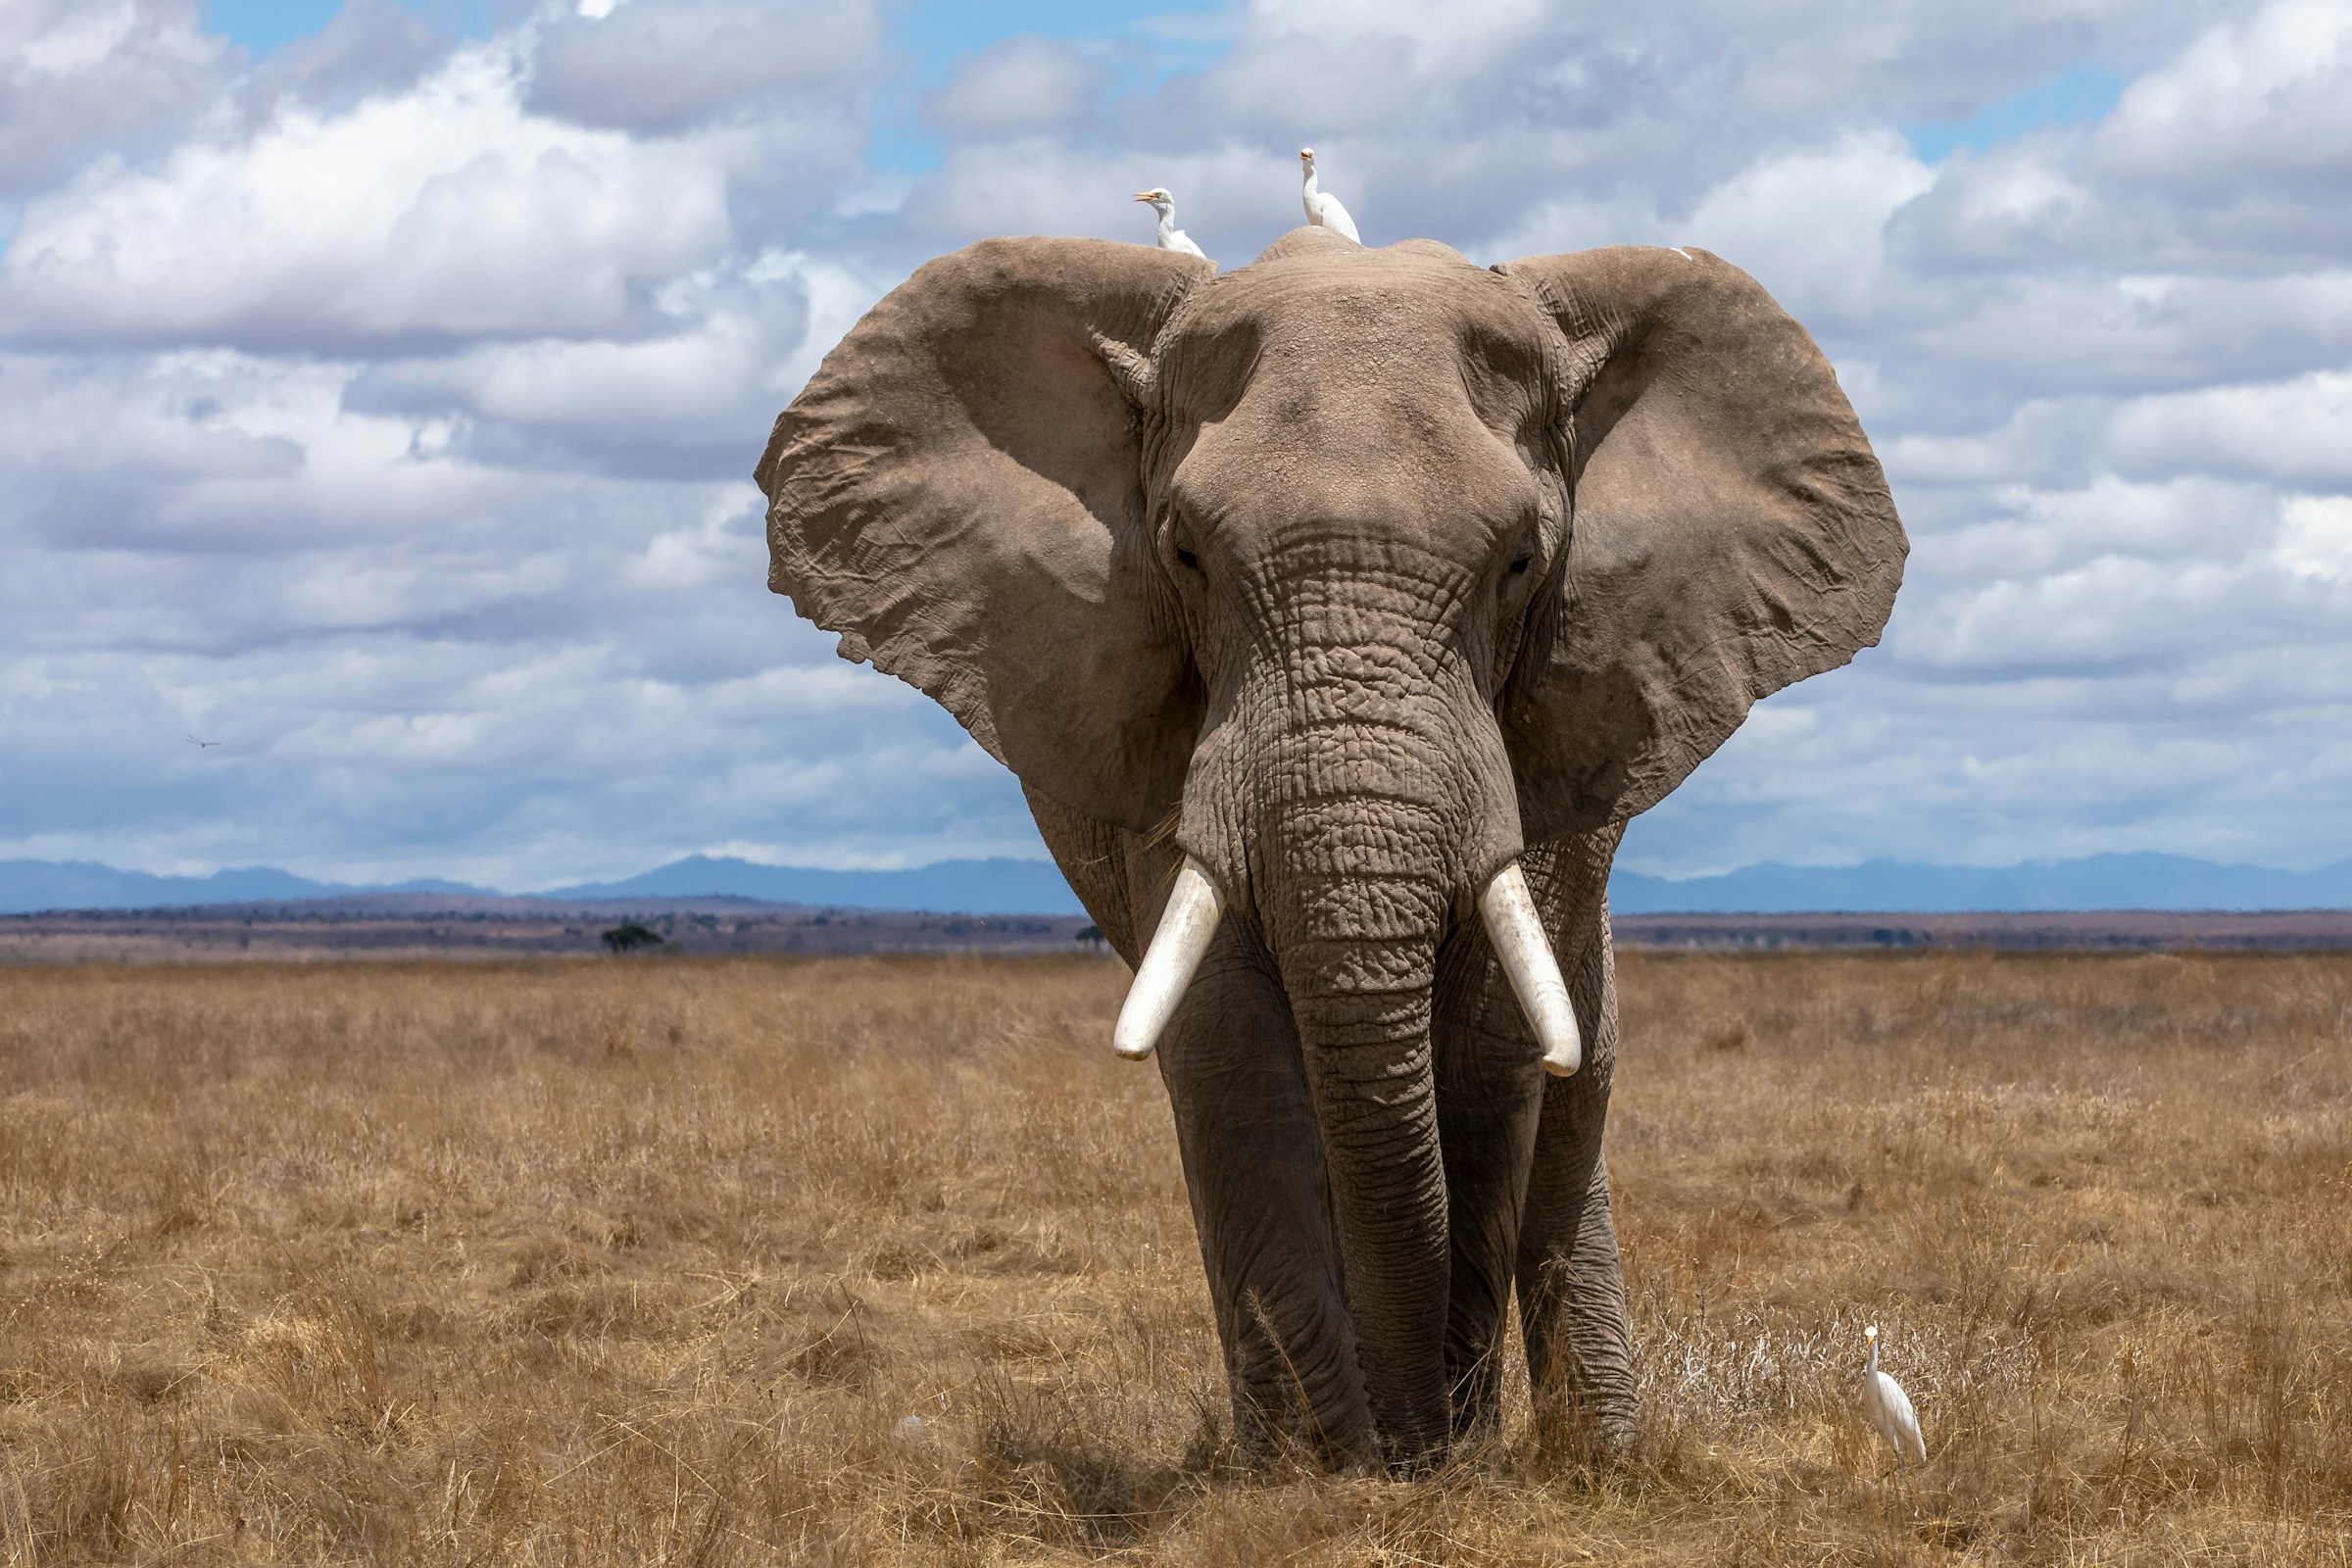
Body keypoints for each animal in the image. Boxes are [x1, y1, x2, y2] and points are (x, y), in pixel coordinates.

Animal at [755, 225, 1904, 1469]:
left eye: (1520, 561)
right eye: (1185, 554)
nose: (1413, 1444)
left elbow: (1492, 1049)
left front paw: (1440, 1459)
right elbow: (1230, 1044)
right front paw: (1322, 1472)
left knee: (1573, 1090)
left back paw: (1600, 1456)